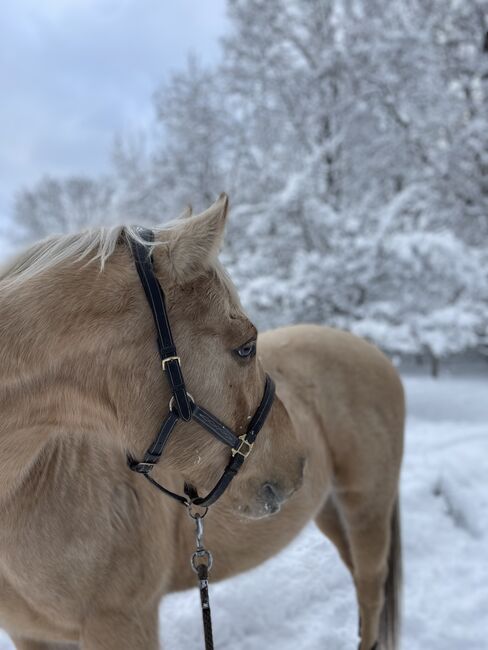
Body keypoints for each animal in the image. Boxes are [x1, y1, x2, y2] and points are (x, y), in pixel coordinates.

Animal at [0, 194, 404, 648]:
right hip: (332, 510)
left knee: (370, 587)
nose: (297, 466)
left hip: (367, 506)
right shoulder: (31, 634)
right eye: (246, 347)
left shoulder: (124, 624)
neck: (34, 482)